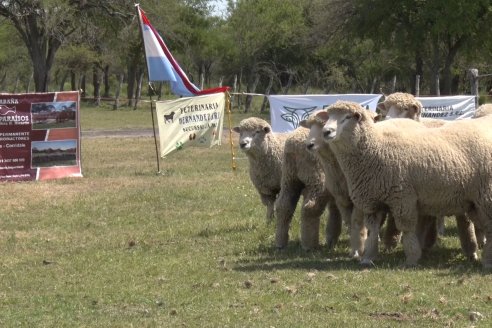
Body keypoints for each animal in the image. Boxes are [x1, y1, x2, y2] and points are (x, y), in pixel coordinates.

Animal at [320, 101, 492, 268]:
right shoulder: (372, 201)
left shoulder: (402, 197)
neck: (376, 148)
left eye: (348, 117)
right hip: (473, 202)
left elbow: (407, 229)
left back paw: (486, 261)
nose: (326, 132)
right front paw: (368, 257)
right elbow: (372, 231)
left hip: (485, 196)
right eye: (328, 116)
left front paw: (411, 259)